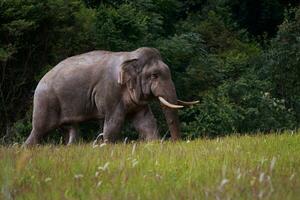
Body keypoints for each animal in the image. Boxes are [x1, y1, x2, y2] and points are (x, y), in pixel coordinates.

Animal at [24, 47, 198, 146]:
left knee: (71, 129)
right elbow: (115, 121)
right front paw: (107, 146)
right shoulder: (110, 91)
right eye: (154, 75)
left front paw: (153, 143)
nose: (176, 143)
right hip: (46, 101)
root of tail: (39, 82)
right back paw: (27, 149)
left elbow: (145, 121)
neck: (130, 57)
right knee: (39, 130)